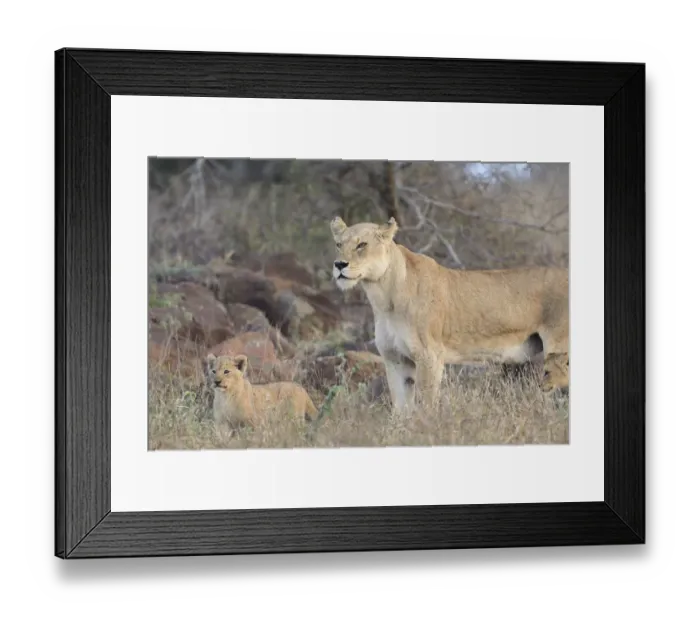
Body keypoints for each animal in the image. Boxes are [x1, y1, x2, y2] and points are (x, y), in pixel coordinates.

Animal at [330, 216, 569, 410]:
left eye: (362, 244)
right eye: (338, 244)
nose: (339, 264)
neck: (383, 296)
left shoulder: (430, 355)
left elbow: (425, 405)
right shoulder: (395, 360)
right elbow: (400, 409)